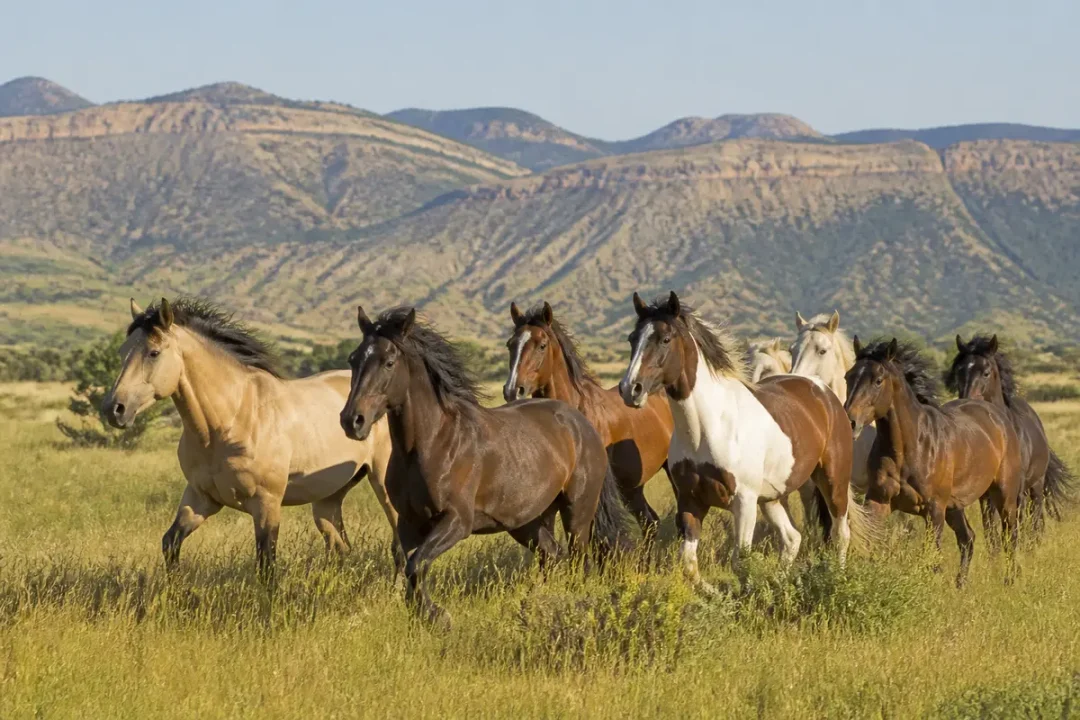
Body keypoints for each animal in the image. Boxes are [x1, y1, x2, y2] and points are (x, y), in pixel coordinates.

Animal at [103, 298, 402, 577]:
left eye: (153, 353)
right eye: (122, 351)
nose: (113, 409)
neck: (230, 422)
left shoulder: (266, 504)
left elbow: (266, 563)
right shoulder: (201, 498)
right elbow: (170, 542)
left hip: (383, 484)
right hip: (328, 498)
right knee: (341, 547)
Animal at [340, 305, 632, 628]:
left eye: (389, 362)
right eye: (353, 359)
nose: (352, 420)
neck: (433, 443)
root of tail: (582, 424)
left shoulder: (457, 521)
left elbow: (417, 564)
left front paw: (438, 615)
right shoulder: (408, 522)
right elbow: (407, 564)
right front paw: (421, 614)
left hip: (576, 512)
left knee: (579, 560)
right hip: (528, 521)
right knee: (552, 555)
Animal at [618, 292, 873, 592]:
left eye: (665, 339)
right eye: (632, 338)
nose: (630, 389)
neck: (707, 428)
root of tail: (824, 391)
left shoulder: (743, 503)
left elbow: (741, 562)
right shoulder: (691, 500)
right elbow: (689, 565)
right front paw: (715, 594)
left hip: (833, 481)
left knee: (840, 532)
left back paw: (837, 580)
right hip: (773, 498)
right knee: (792, 539)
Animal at [845, 338, 1023, 586]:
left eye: (878, 380)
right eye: (848, 377)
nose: (850, 421)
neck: (910, 448)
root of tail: (999, 416)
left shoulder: (934, 510)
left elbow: (931, 559)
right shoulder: (879, 501)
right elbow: (870, 542)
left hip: (1003, 495)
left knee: (1010, 535)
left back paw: (1010, 580)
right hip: (955, 505)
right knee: (967, 538)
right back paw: (961, 585)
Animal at [947, 334, 1076, 536]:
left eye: (986, 372)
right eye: (959, 371)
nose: (966, 401)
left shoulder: (1017, 490)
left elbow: (1017, 523)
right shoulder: (985, 495)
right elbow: (990, 529)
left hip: (1036, 486)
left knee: (1036, 519)